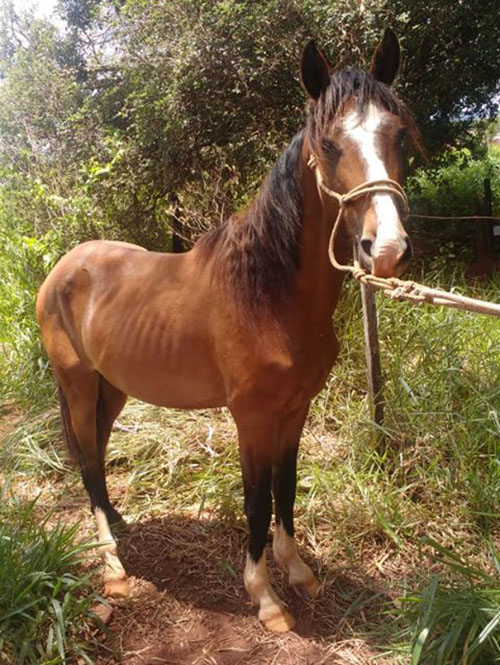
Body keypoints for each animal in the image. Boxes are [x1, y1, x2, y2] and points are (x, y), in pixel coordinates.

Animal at [36, 29, 418, 632]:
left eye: (399, 134)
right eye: (329, 144)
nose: (386, 249)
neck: (268, 296)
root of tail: (63, 269)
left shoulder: (295, 409)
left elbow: (286, 487)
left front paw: (299, 572)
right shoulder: (251, 418)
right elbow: (257, 500)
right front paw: (265, 596)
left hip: (111, 388)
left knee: (94, 451)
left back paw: (118, 522)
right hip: (76, 383)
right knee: (90, 460)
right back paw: (112, 566)